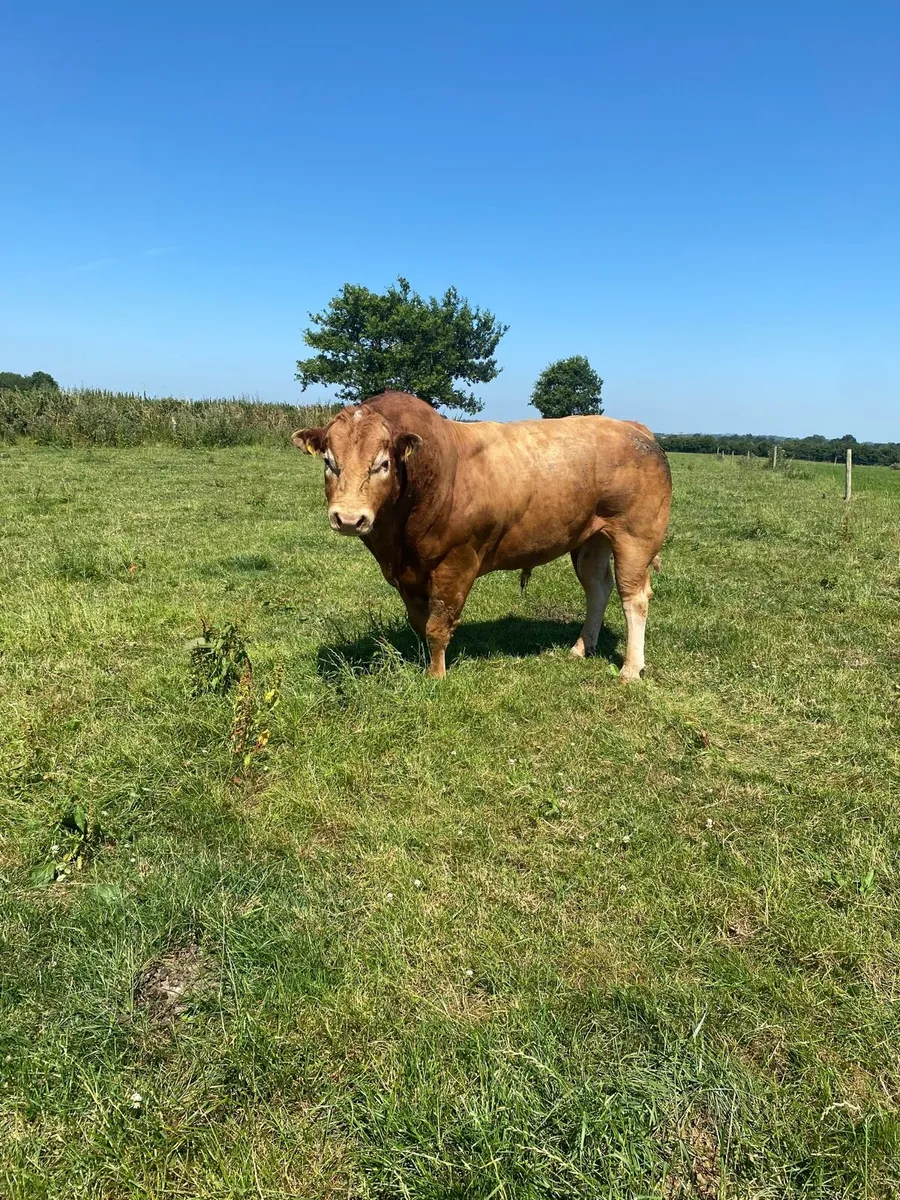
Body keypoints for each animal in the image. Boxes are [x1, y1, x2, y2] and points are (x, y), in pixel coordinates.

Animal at [293, 391, 672, 680]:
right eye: (329, 462)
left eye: (382, 464)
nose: (348, 518)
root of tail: (633, 428)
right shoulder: (406, 574)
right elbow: (419, 622)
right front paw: (422, 663)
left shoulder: (456, 562)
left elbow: (437, 625)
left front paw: (436, 676)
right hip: (591, 538)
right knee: (597, 587)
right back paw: (581, 648)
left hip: (635, 536)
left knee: (634, 597)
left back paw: (630, 669)